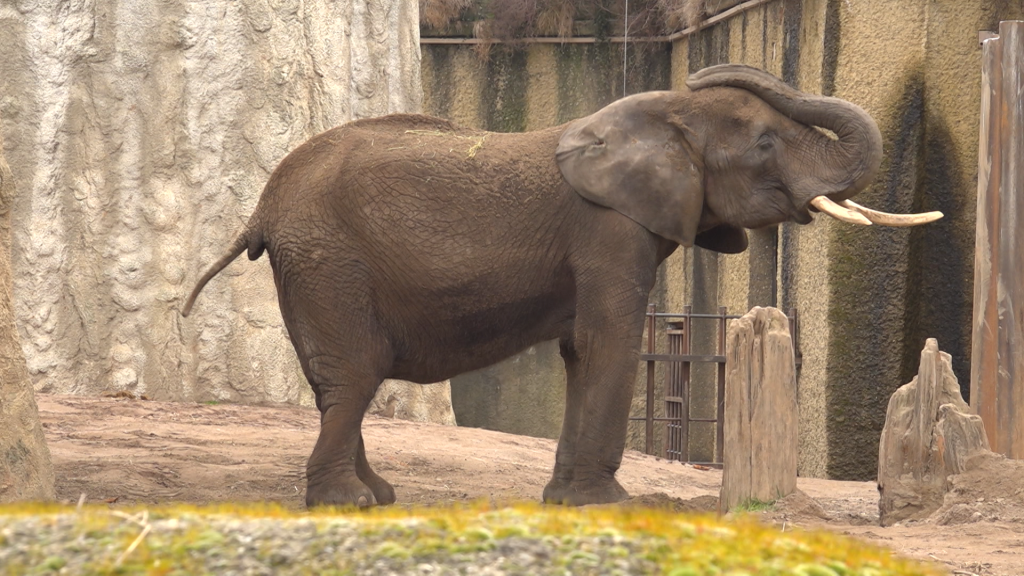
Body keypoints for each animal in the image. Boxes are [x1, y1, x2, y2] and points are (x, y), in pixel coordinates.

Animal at [182, 63, 937, 506]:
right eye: (764, 146)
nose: (700, 69)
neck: (660, 113)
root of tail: (263, 206)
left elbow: (582, 350)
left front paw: (565, 499)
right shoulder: (608, 229)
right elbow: (609, 343)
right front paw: (615, 506)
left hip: (314, 267)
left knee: (337, 383)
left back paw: (380, 494)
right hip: (329, 261)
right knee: (353, 376)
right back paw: (351, 503)